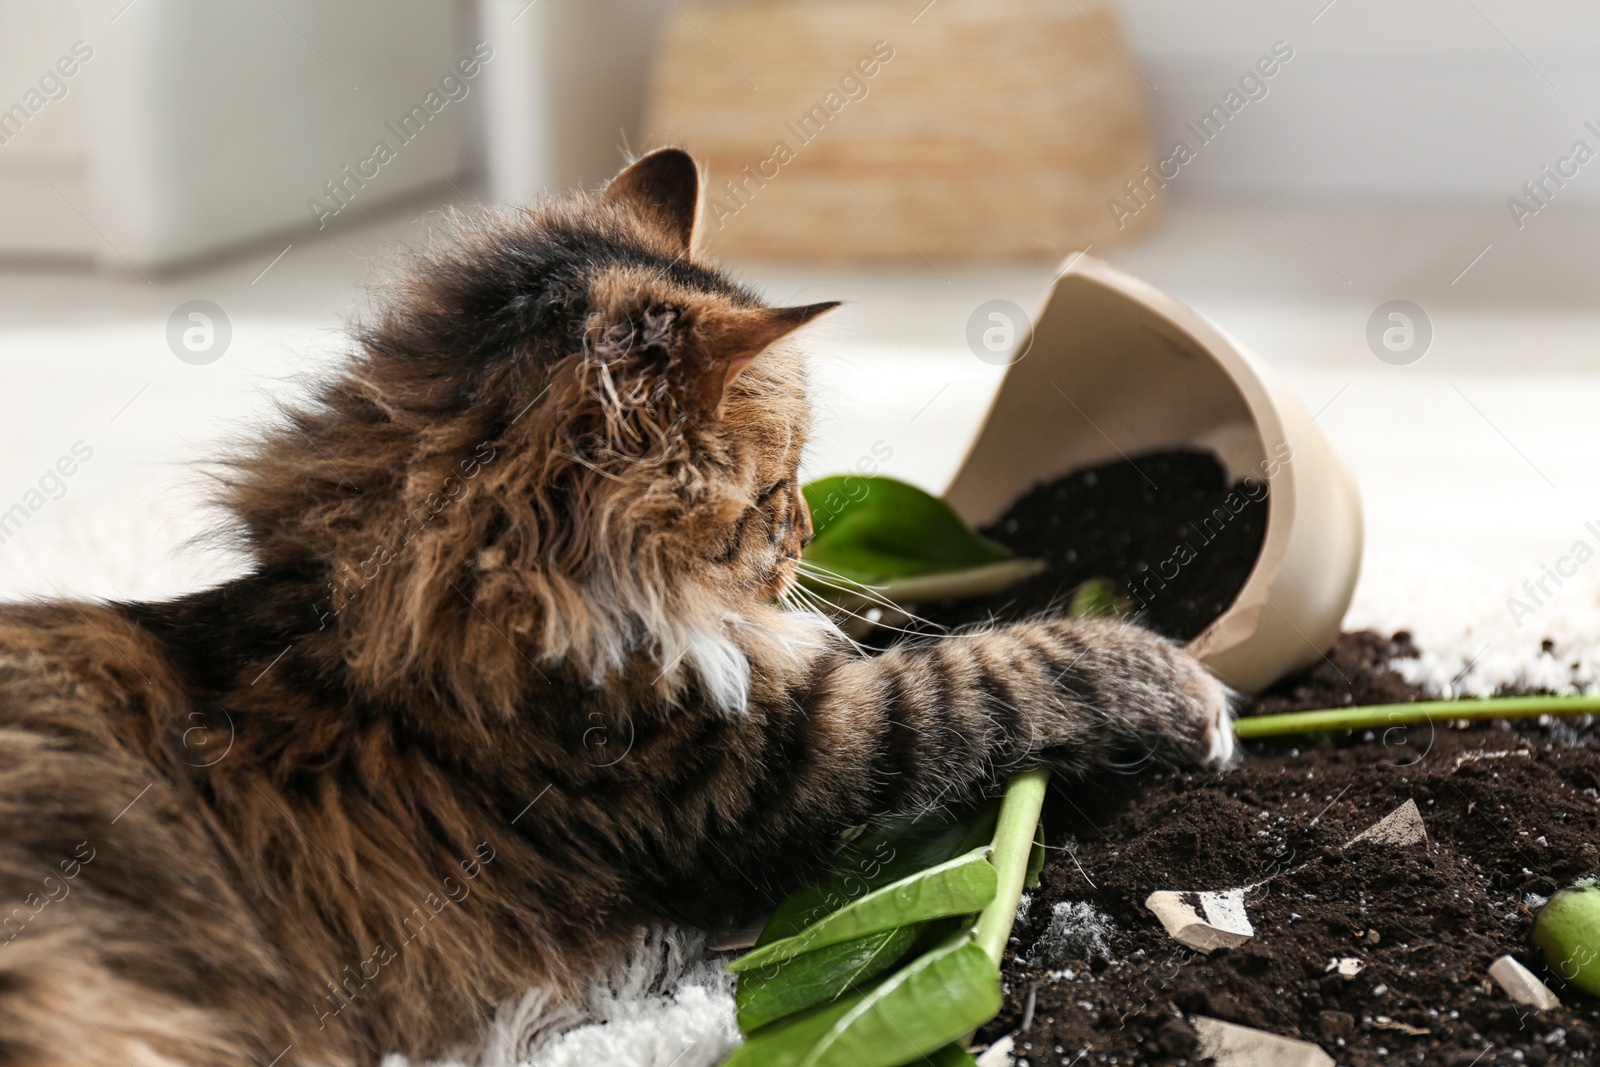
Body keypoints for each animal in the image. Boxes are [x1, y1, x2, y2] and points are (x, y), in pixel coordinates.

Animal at [0, 150, 1235, 1067]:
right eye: (777, 489)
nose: (806, 537)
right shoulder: (779, 763)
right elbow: (996, 672)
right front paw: (1186, 688)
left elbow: (898, 630)